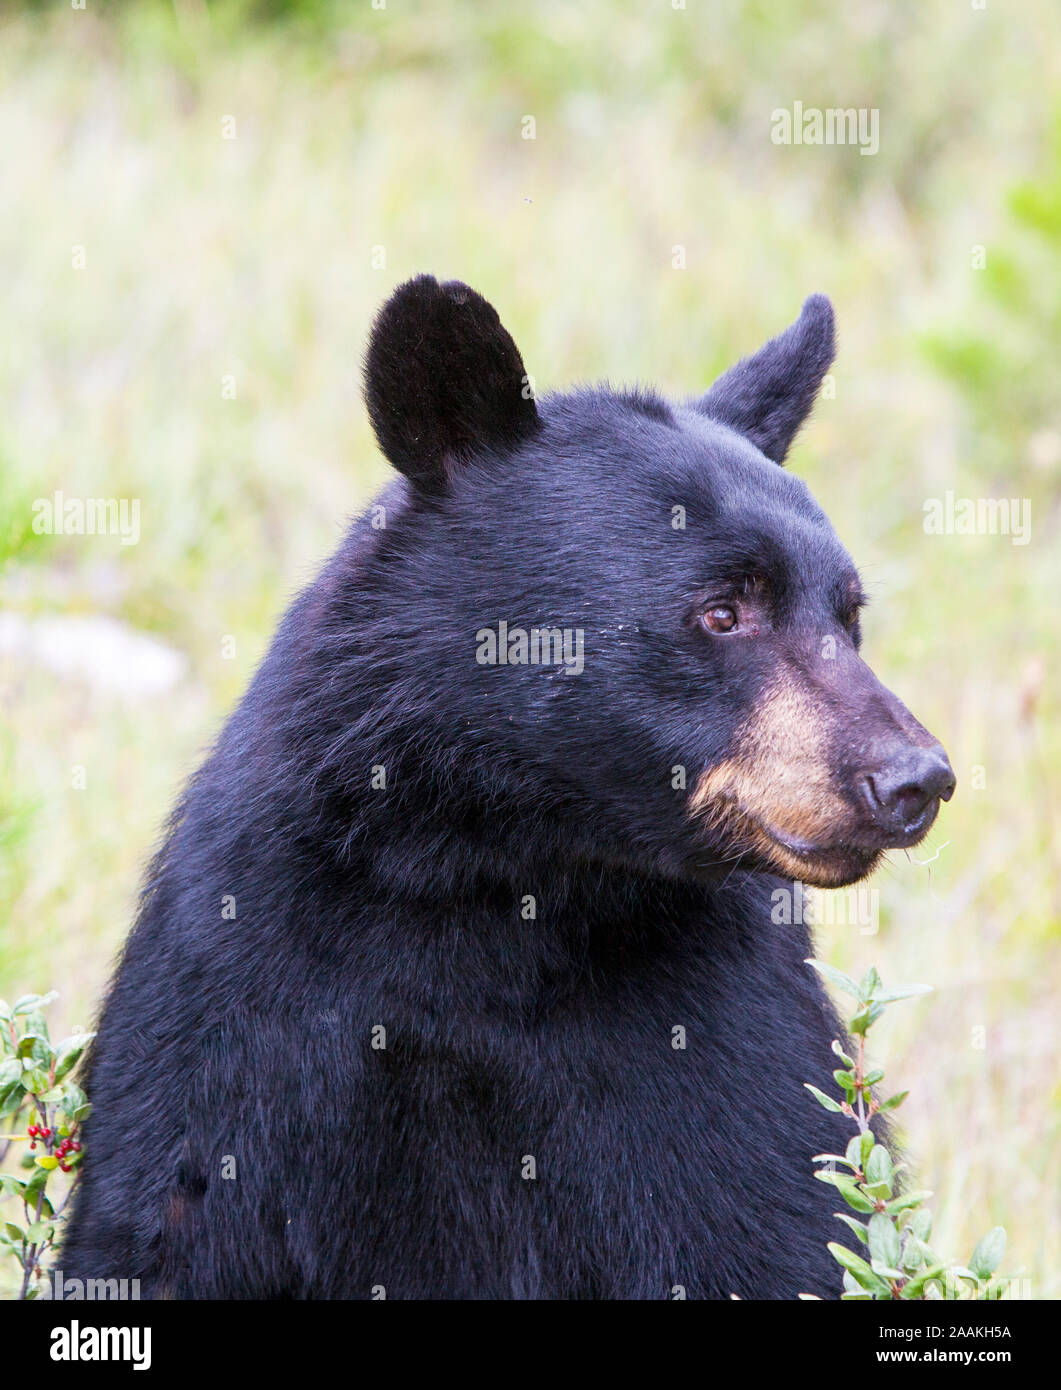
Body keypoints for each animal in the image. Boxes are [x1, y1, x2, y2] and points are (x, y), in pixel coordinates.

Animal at [60, 276, 956, 1295]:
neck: (502, 879)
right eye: (722, 610)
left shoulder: (725, 1024)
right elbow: (168, 1220)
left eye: (848, 615)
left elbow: (785, 1219)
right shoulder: (240, 997)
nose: (913, 779)